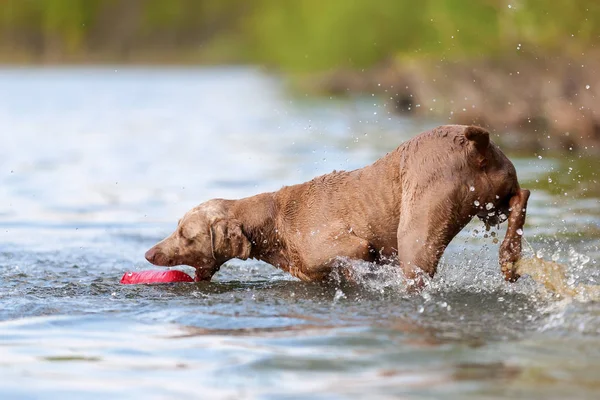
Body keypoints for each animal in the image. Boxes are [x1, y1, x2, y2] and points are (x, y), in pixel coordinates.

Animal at [145, 125, 528, 284]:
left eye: (185, 234)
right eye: (176, 227)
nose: (149, 254)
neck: (274, 221)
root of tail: (473, 144)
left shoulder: (350, 247)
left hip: (417, 232)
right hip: (495, 192)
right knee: (520, 198)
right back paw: (509, 258)